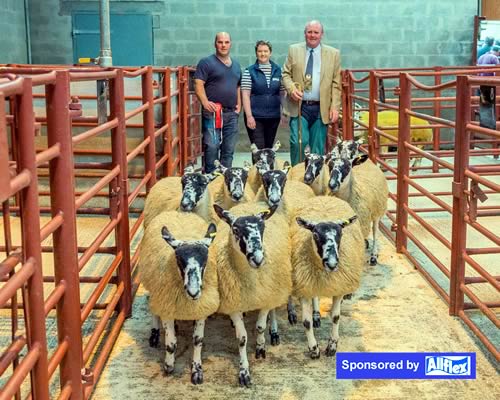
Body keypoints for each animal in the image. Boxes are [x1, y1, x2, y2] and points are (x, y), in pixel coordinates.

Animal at [140, 212, 220, 384]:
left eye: (205, 261)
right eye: (179, 260)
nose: (193, 292)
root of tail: (177, 212)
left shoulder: (201, 308)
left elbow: (197, 340)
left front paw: (197, 371)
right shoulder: (167, 307)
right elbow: (171, 344)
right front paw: (168, 366)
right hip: (154, 289)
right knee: (153, 309)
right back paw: (154, 334)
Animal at [212, 202, 292, 386]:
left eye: (263, 228)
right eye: (235, 229)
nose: (258, 259)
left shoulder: (266, 298)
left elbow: (260, 327)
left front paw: (260, 348)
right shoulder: (233, 304)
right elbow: (241, 338)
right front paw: (244, 372)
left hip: (276, 287)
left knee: (274, 310)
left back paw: (274, 332)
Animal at [292, 195, 366, 358]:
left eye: (341, 234)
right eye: (315, 235)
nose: (332, 263)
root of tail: (324, 197)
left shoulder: (339, 286)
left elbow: (336, 317)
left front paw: (332, 346)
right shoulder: (304, 287)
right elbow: (306, 322)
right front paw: (314, 349)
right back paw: (316, 315)